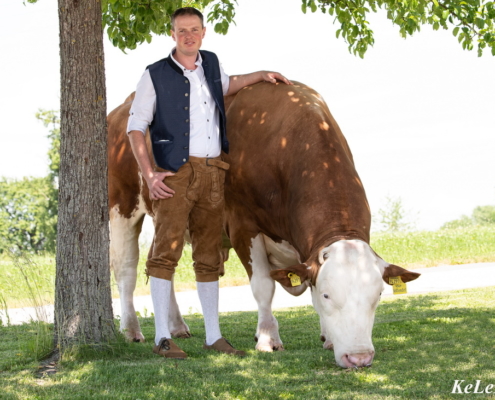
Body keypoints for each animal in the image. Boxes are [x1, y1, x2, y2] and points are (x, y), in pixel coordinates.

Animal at [107, 81, 418, 368]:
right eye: (328, 294)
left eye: (379, 294)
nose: (359, 357)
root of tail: (120, 109)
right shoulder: (244, 226)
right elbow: (263, 286)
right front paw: (268, 338)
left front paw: (328, 337)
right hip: (122, 206)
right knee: (127, 271)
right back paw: (132, 330)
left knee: (161, 264)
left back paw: (177, 326)